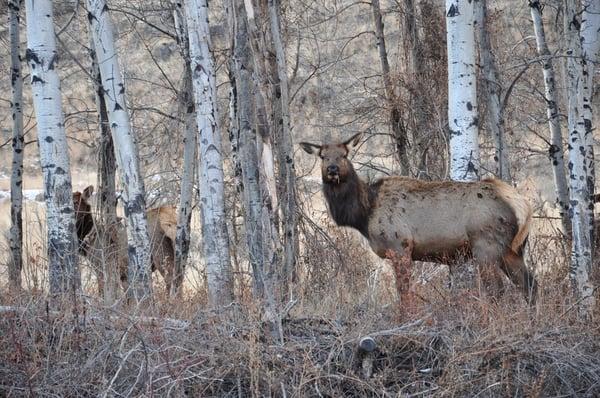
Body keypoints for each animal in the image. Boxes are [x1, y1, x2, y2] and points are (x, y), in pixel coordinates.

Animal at [300, 132, 540, 304]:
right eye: (322, 156)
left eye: (344, 155)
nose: (332, 169)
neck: (364, 214)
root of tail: (522, 205)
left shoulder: (400, 246)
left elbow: (404, 293)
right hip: (512, 250)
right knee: (530, 284)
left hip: (486, 245)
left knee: (497, 289)